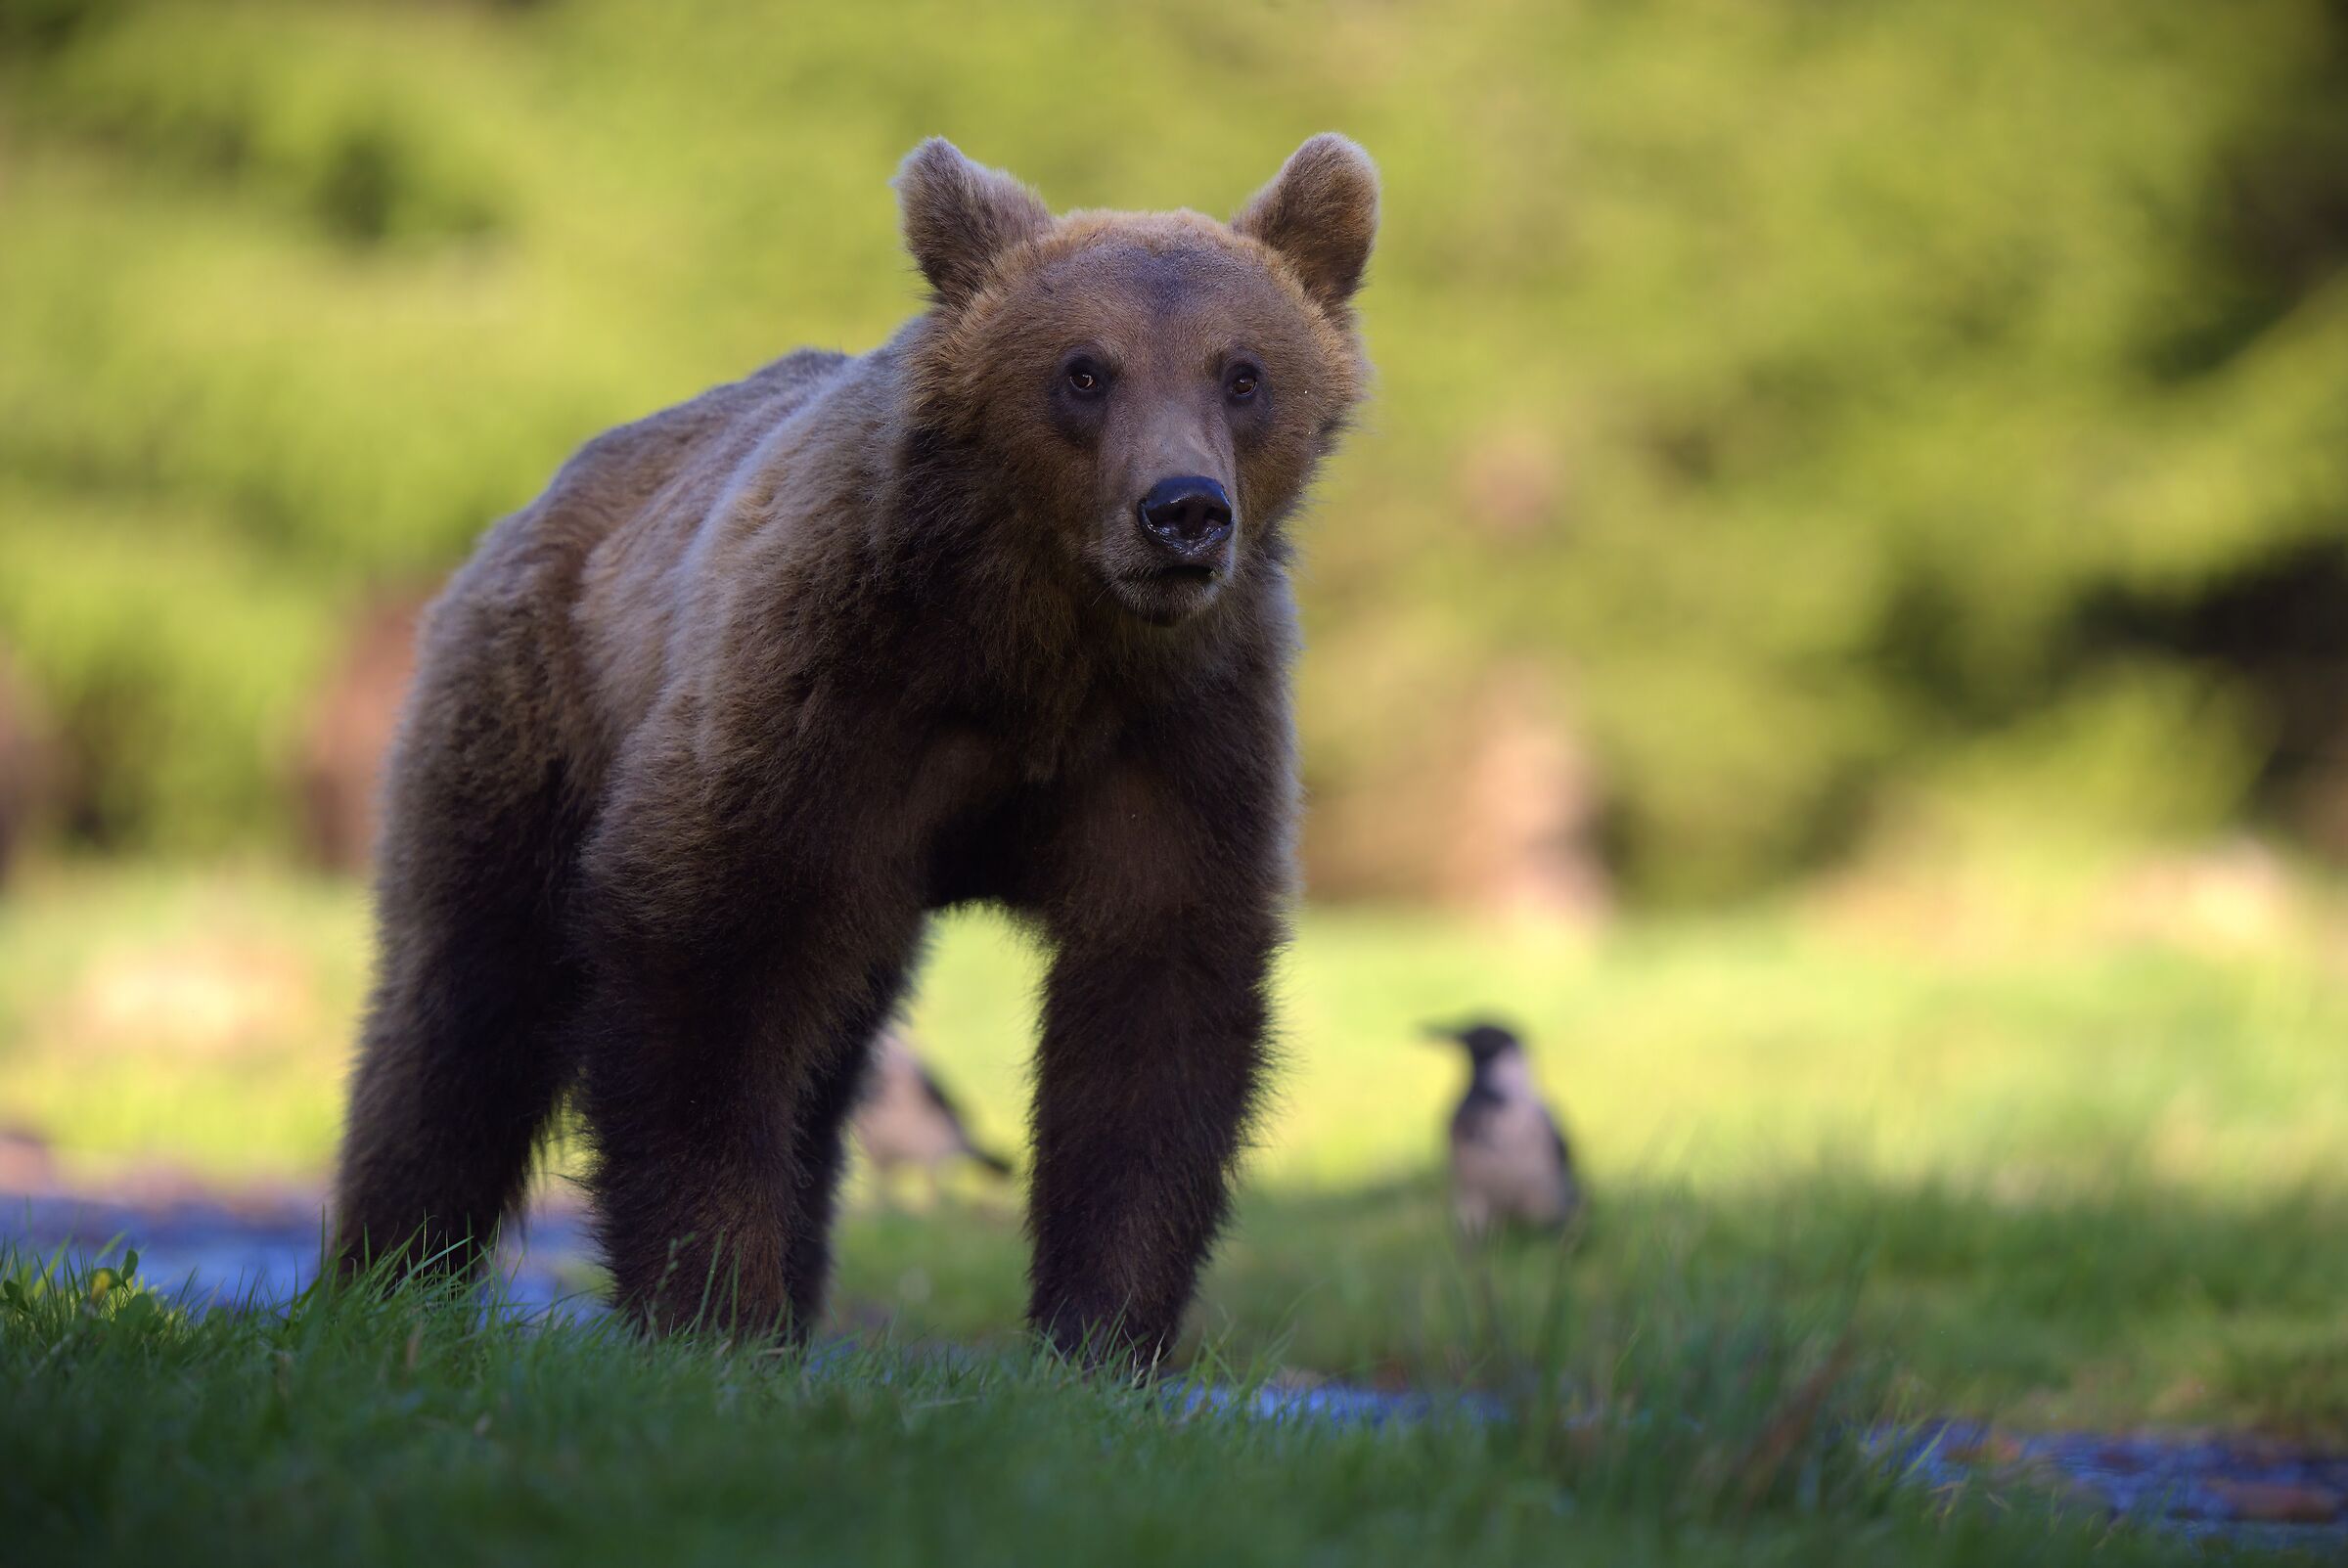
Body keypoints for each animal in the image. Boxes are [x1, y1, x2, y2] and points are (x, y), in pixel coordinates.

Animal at [332, 134, 1378, 1363]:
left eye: (1243, 372)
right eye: (1084, 369)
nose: (1182, 512)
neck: (1039, 646)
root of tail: (541, 497)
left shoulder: (1176, 739)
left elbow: (1153, 1012)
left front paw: (1103, 1336)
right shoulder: (823, 698)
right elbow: (706, 970)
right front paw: (711, 1308)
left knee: (829, 1059)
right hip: (529, 714)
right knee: (464, 1001)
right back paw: (388, 1272)